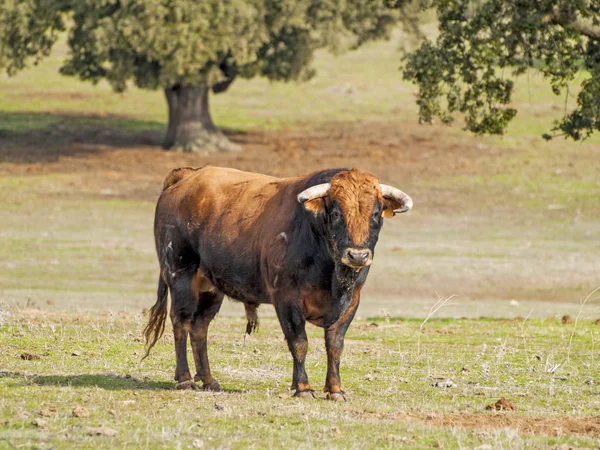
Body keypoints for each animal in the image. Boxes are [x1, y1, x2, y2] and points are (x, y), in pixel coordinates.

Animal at [144, 166, 412, 400]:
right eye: (337, 213)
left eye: (375, 214)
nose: (357, 256)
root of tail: (186, 177)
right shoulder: (286, 299)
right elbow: (299, 342)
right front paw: (303, 387)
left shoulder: (352, 301)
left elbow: (335, 345)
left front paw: (335, 390)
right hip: (180, 274)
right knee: (181, 321)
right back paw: (185, 379)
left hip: (210, 288)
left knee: (200, 327)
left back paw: (209, 380)